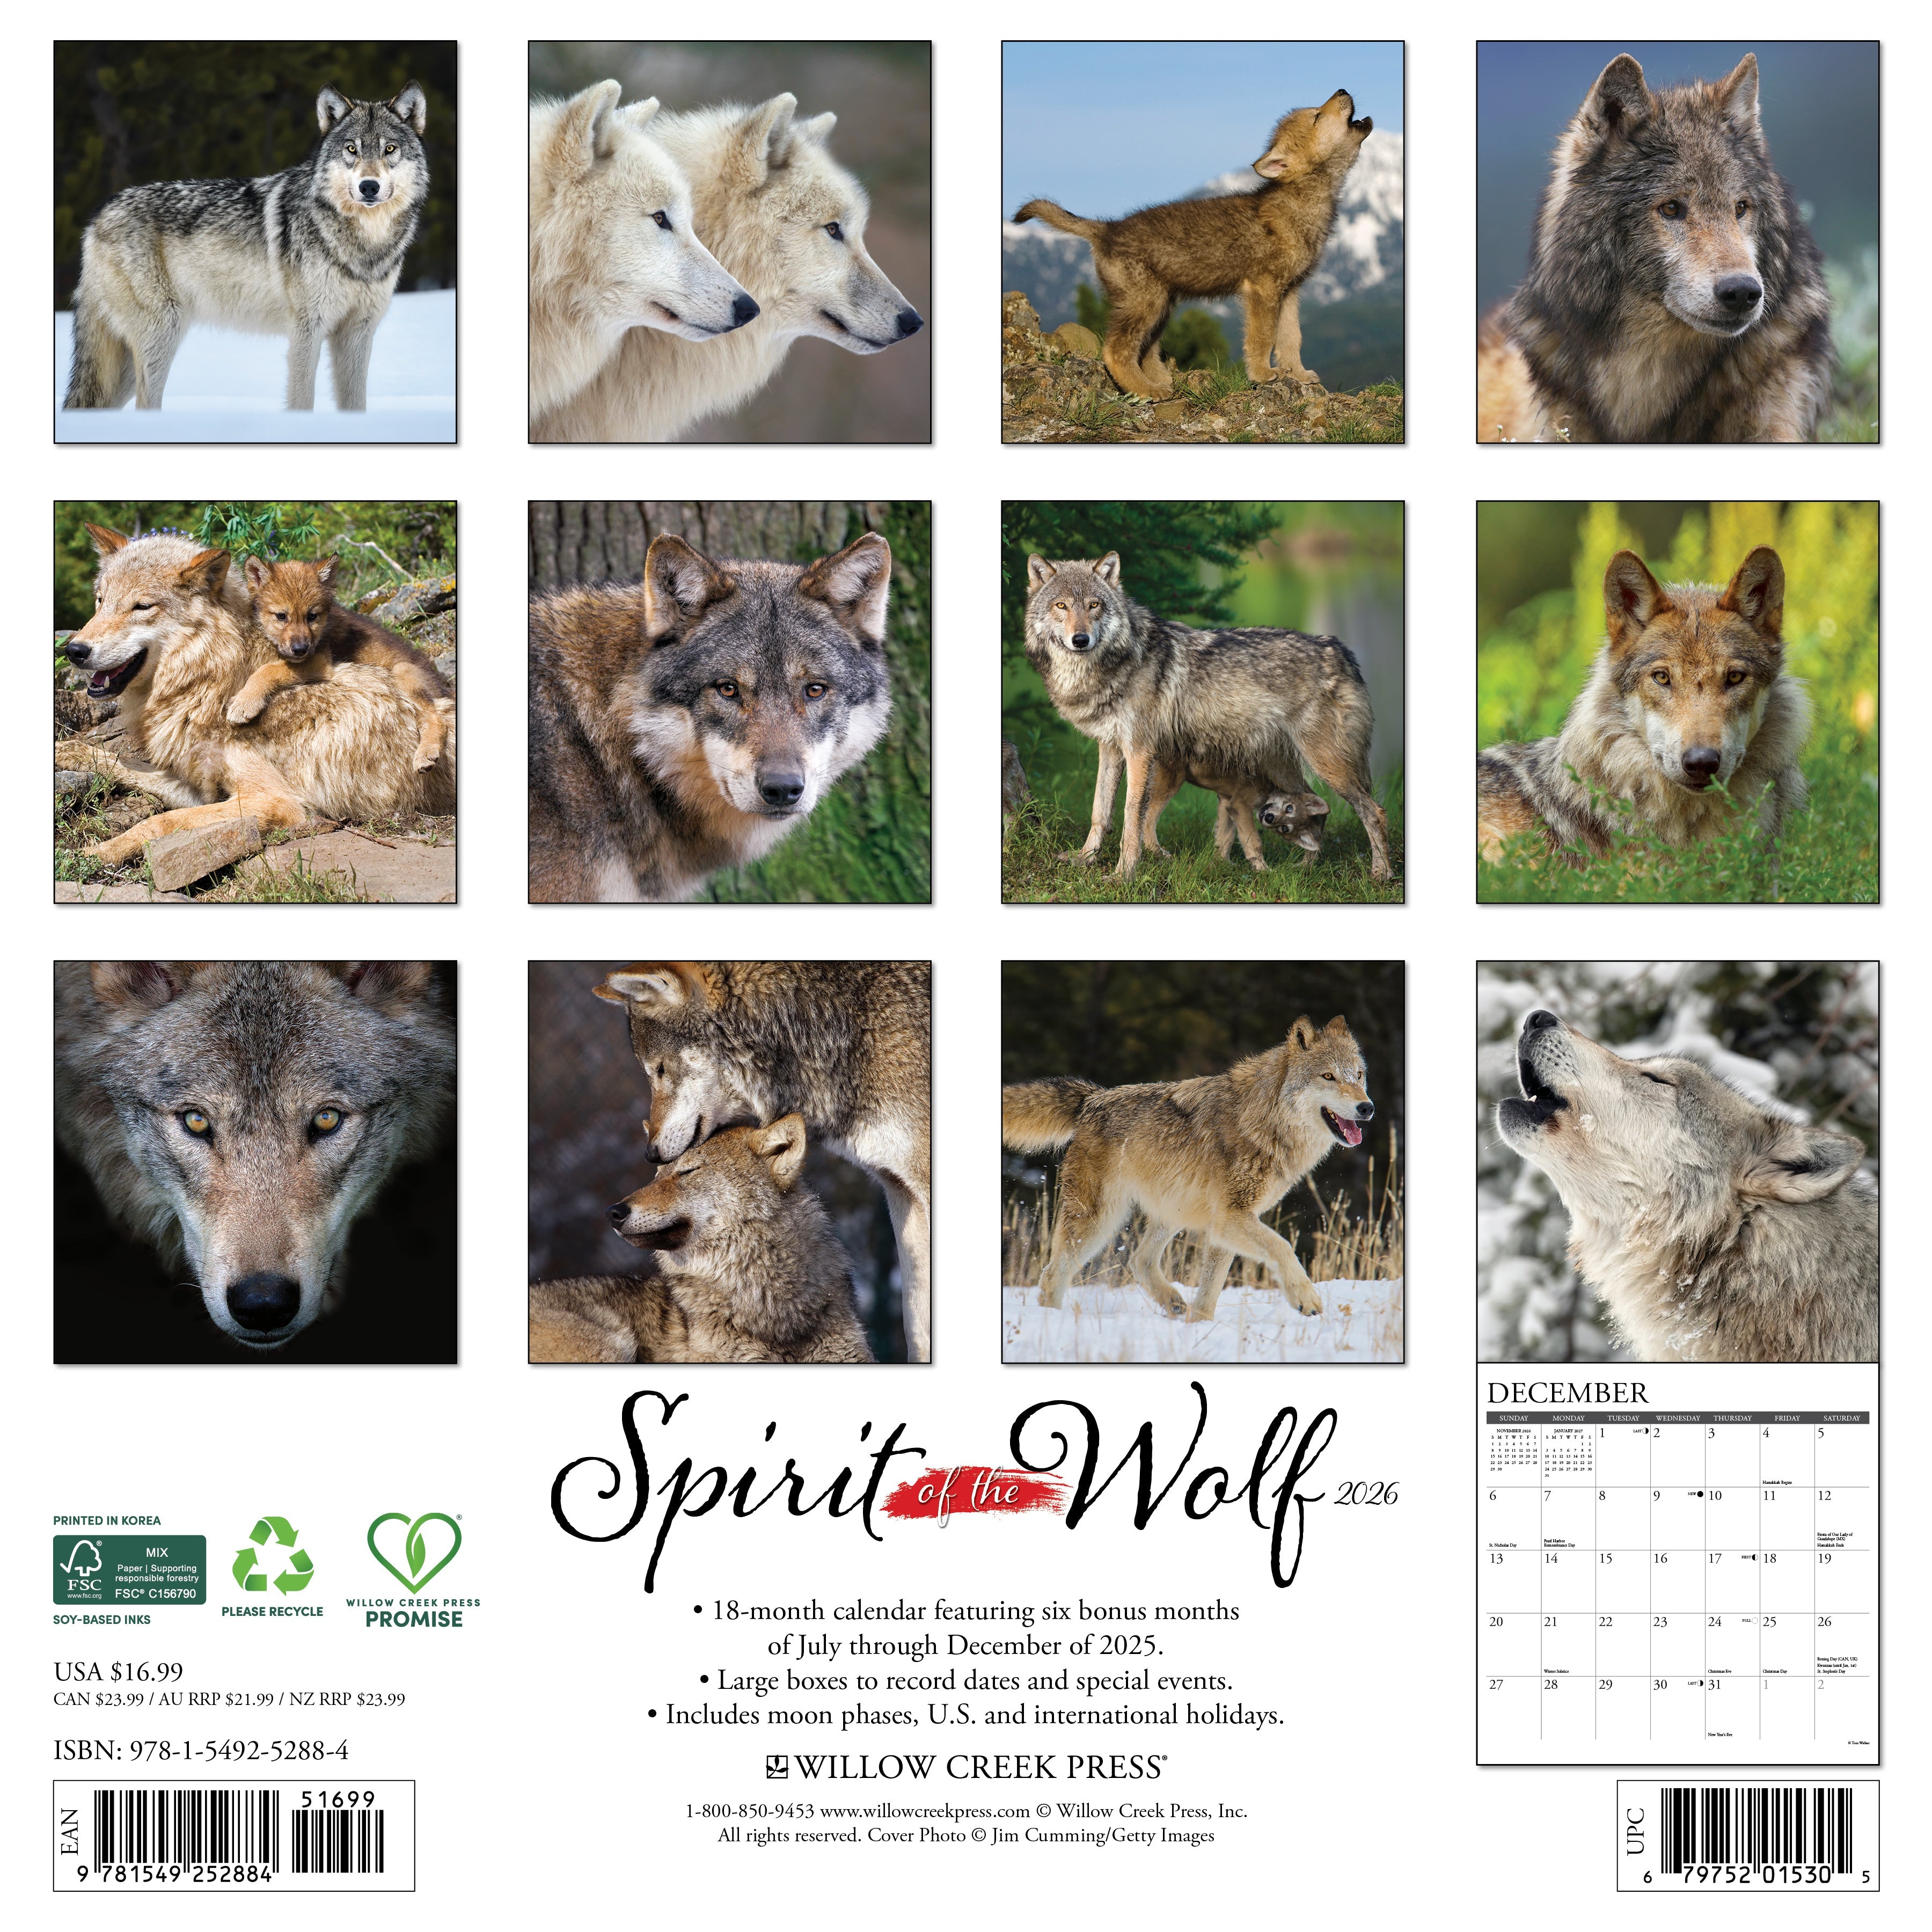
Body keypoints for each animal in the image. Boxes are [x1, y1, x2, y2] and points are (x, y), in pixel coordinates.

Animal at [64, 83, 430, 412]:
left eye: (390, 149)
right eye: (352, 150)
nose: (369, 187)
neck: (364, 244)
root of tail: (98, 218)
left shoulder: (358, 332)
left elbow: (356, 404)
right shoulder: (306, 329)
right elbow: (302, 400)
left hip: (128, 366)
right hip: (160, 338)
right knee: (146, 404)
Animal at [233, 555, 451, 770]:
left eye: (312, 616)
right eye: (281, 616)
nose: (300, 649)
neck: (325, 628)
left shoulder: (320, 661)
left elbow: (268, 670)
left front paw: (244, 702)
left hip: (403, 671)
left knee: (438, 718)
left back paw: (426, 754)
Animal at [1004, 1015, 1372, 1323]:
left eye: (1359, 1075)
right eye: (1328, 1076)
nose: (1367, 1108)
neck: (1265, 1121)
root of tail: (1092, 1099)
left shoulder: (1228, 1224)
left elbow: (1210, 1290)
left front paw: (1199, 1327)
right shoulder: (1230, 1218)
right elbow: (1283, 1246)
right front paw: (1306, 1298)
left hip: (1170, 1213)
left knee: (1140, 1260)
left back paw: (1173, 1303)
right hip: (1098, 1220)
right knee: (1053, 1274)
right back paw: (1053, 1321)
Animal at [1014, 89, 1371, 398]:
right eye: (1317, 116)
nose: (1342, 89)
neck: (1305, 200)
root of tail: (1107, 229)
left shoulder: (1290, 290)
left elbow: (1291, 338)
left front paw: (1298, 374)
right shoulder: (1263, 288)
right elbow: (1262, 337)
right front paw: (1263, 375)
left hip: (1160, 305)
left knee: (1144, 351)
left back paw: (1161, 381)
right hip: (1145, 303)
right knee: (1116, 350)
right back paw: (1148, 391)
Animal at [1024, 552, 1391, 879]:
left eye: (1094, 605)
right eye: (1062, 606)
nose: (1081, 639)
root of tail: (1342, 651)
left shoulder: (1139, 752)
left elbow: (1131, 819)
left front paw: (1123, 875)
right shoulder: (1111, 747)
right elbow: (1099, 811)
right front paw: (1084, 859)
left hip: (1329, 765)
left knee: (1373, 811)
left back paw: (1381, 874)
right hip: (1284, 768)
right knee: (1315, 807)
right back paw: (1303, 869)